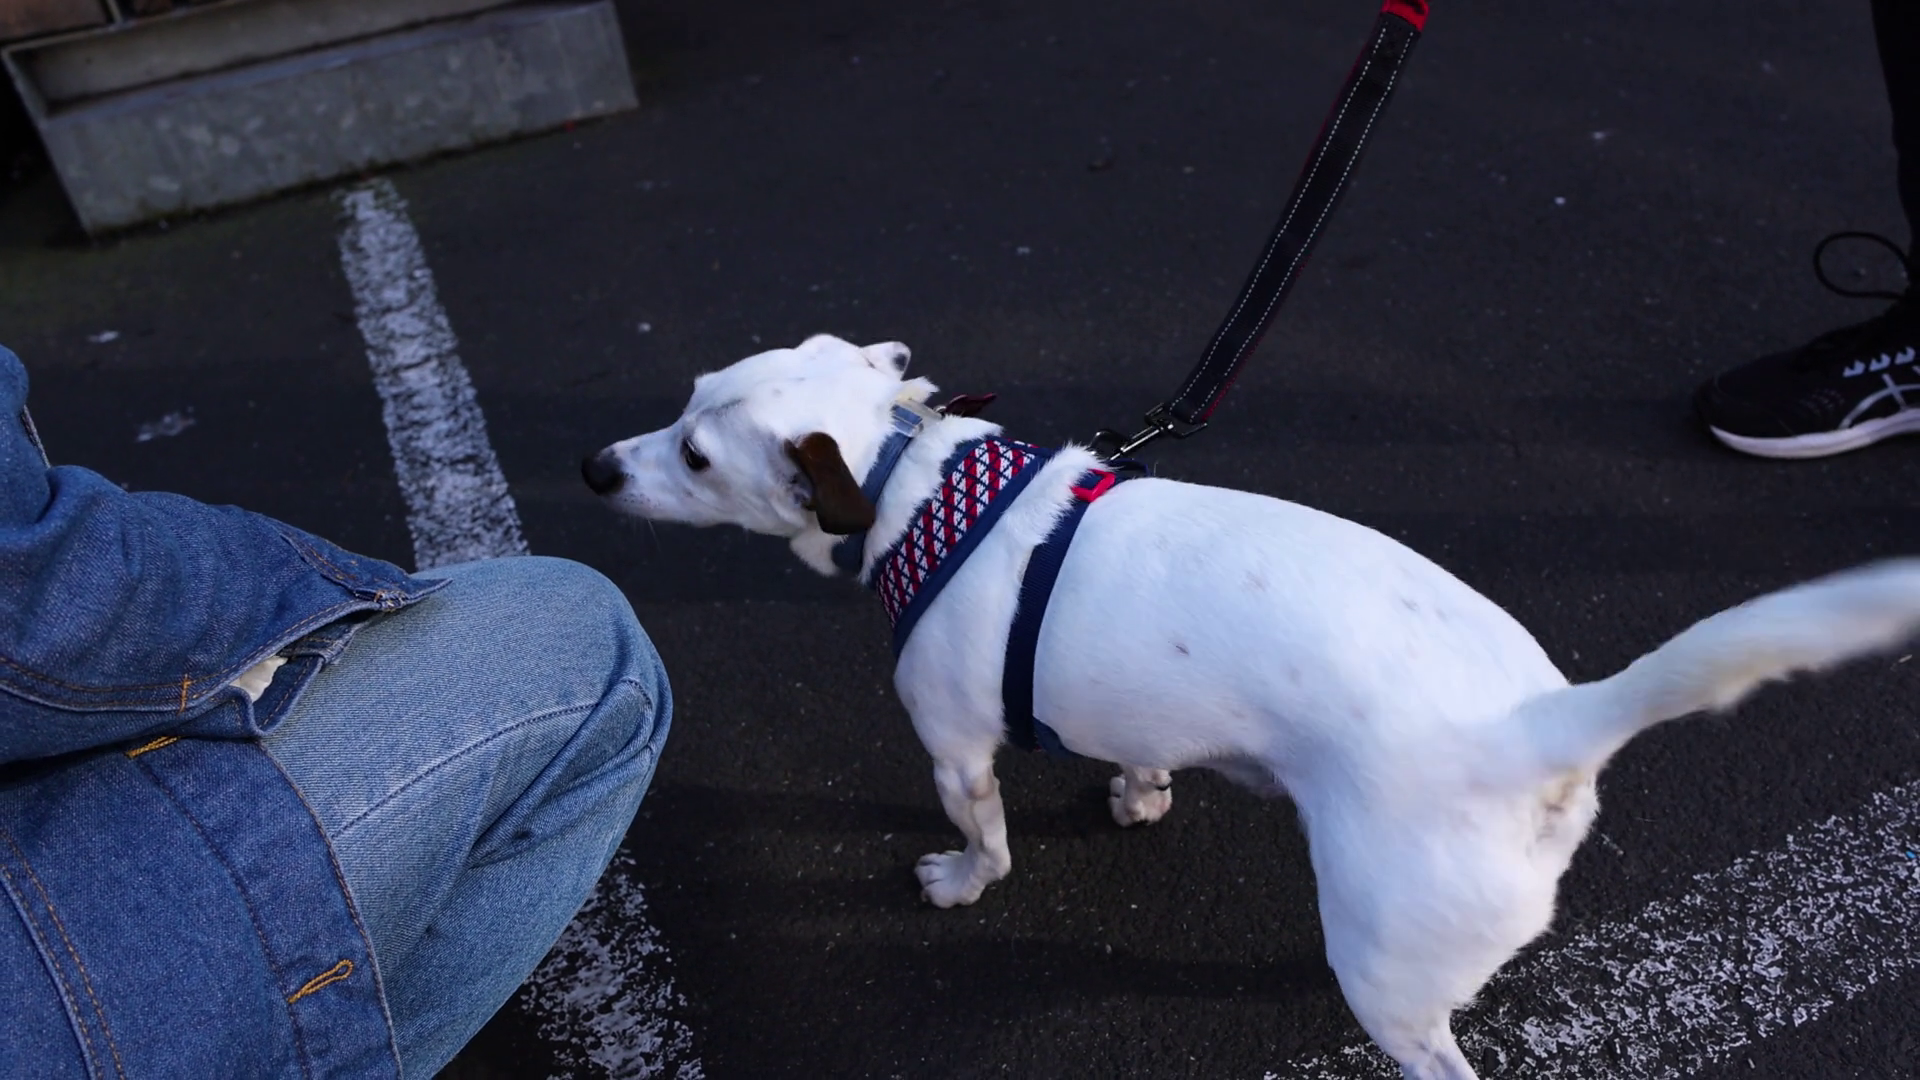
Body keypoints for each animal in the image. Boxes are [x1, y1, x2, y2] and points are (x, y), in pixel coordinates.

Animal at [583, 333, 1920, 1080]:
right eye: (682, 399)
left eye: (697, 458)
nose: (593, 468)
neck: (915, 480)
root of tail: (1545, 724)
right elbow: (1134, 761)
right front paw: (1139, 796)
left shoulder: (956, 749)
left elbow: (986, 839)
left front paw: (962, 882)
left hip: (1383, 971)